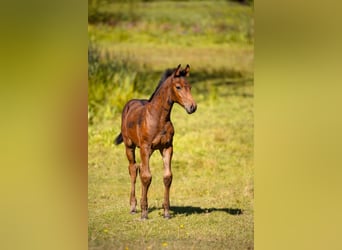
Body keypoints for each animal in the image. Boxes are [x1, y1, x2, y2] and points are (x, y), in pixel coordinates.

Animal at [114, 64, 196, 219]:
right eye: (178, 87)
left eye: (190, 86)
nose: (192, 107)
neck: (158, 118)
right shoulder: (145, 147)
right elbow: (147, 177)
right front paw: (144, 214)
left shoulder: (167, 147)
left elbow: (167, 177)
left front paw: (166, 212)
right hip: (130, 146)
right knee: (133, 169)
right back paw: (133, 206)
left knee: (140, 168)